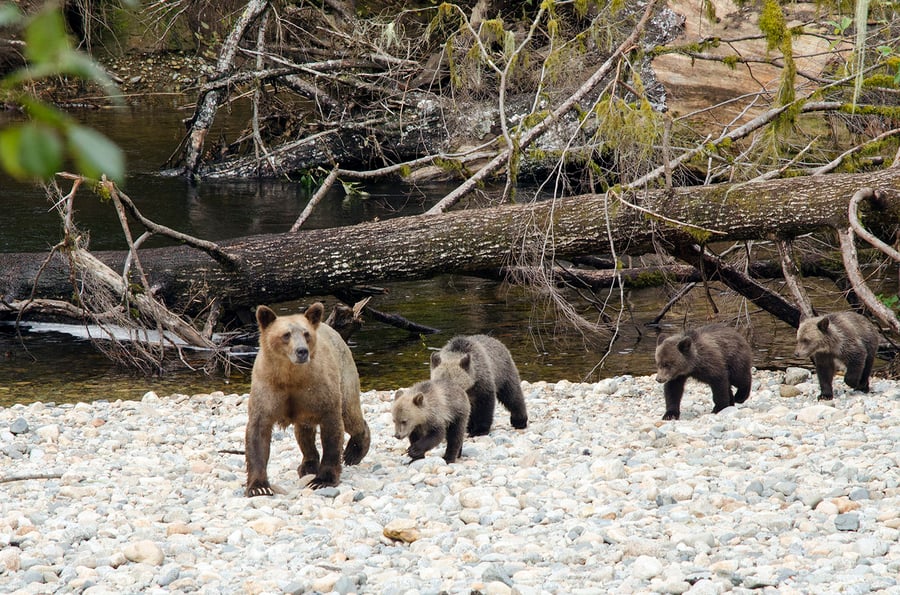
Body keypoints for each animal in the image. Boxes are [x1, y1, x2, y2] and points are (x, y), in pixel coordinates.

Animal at [244, 302, 370, 496]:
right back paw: (308, 464)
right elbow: (258, 433)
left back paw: (354, 452)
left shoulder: (320, 390)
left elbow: (332, 431)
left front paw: (322, 480)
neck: (291, 377)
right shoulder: (267, 390)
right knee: (304, 432)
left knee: (350, 414)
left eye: (306, 334)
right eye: (286, 334)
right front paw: (259, 486)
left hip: (344, 375)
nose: (301, 351)